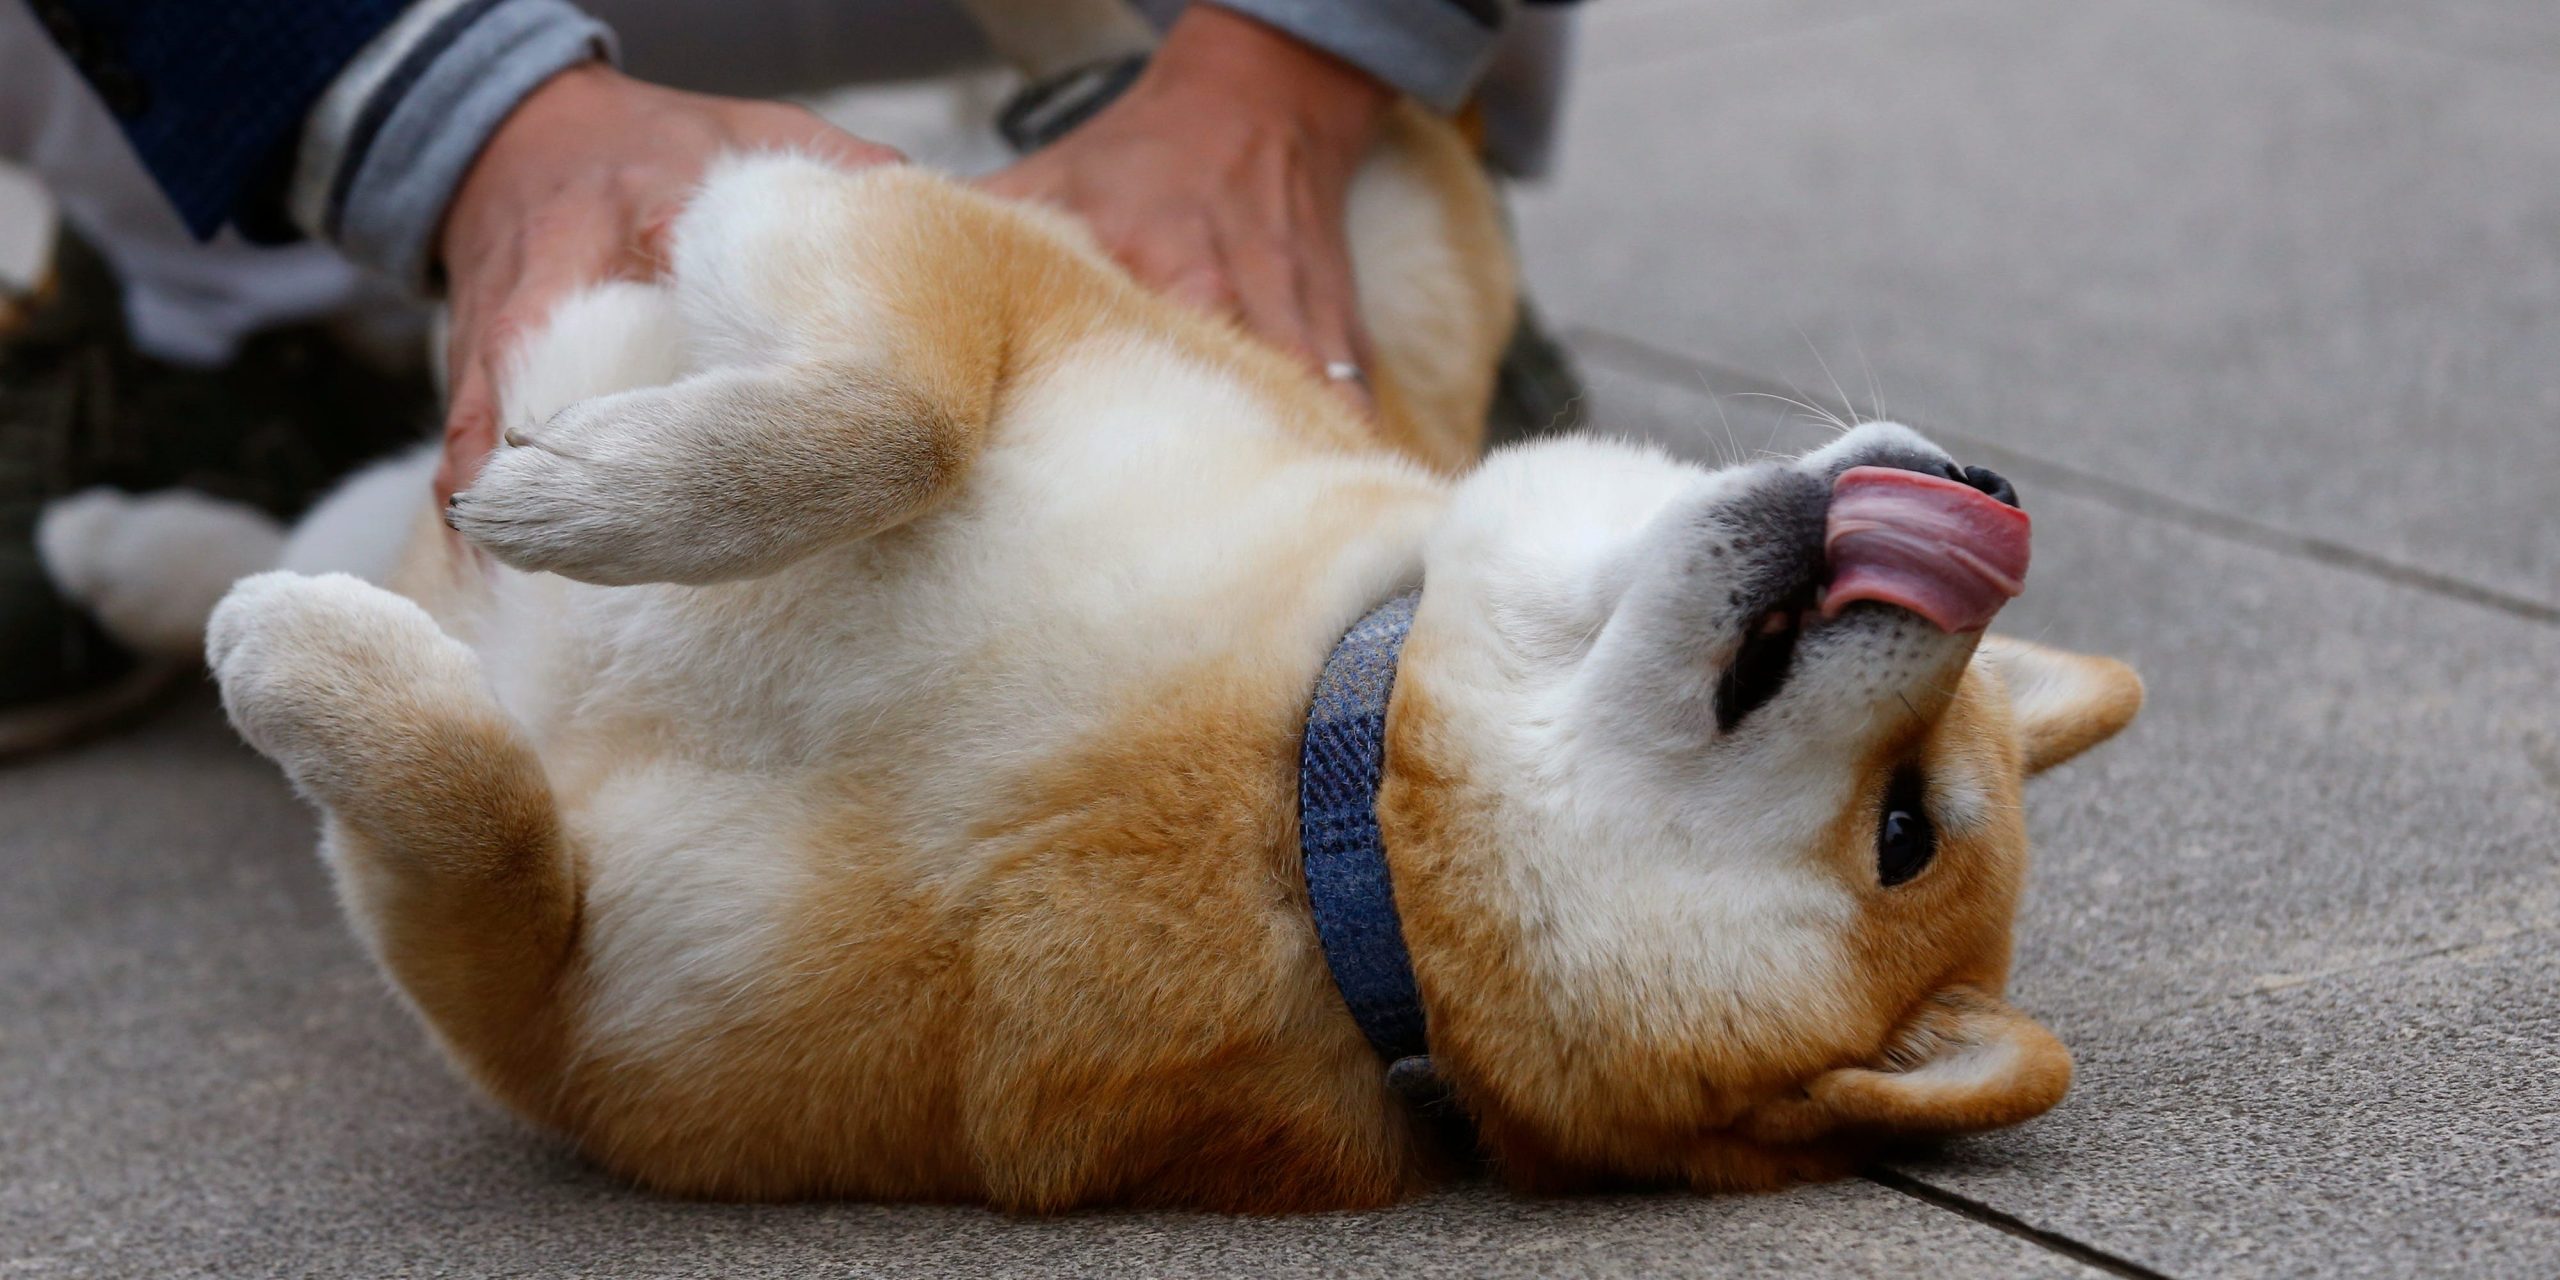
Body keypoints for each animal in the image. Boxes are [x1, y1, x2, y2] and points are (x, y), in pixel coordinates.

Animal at [40, 99, 2140, 1208]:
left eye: (1903, 836)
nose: (1988, 501)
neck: (1304, 763)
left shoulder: (559, 1020)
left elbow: (474, 803)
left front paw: (309, 659)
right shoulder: (931, 257)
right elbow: (897, 410)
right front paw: (606, 498)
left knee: (320, 549)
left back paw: (145, 562)